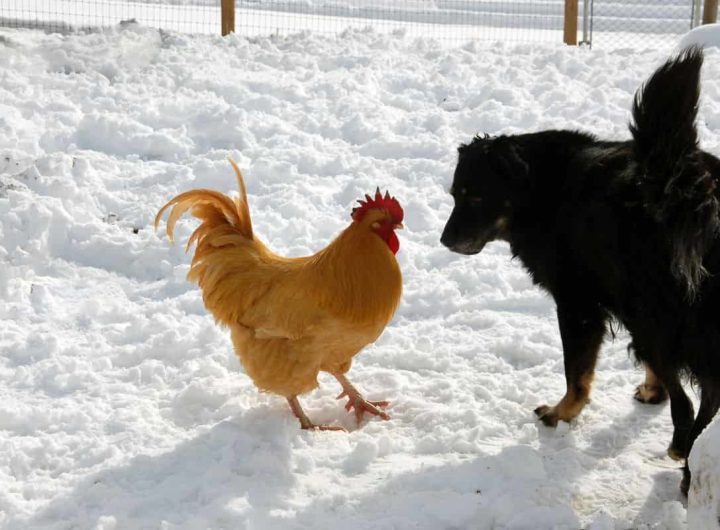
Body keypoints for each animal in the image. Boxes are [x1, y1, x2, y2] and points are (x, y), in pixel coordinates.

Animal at [442, 47, 716, 492]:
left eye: (476, 197)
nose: (444, 240)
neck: (542, 189)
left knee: (692, 403)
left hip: (660, 319)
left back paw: (685, 460)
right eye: (454, 195)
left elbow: (577, 372)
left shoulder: (578, 304)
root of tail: (691, 186)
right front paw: (651, 391)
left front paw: (562, 413)